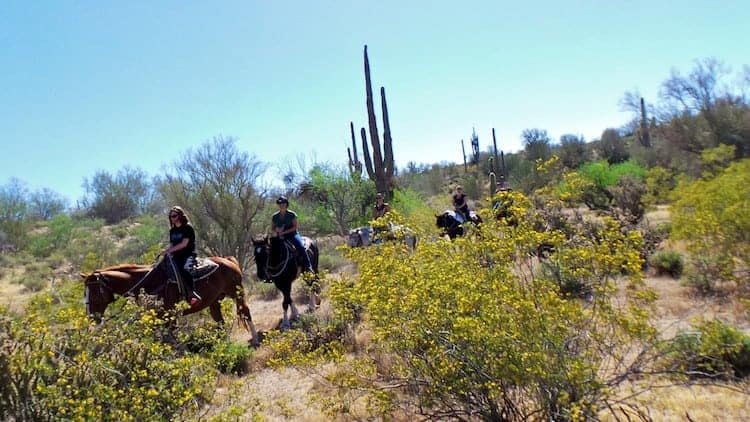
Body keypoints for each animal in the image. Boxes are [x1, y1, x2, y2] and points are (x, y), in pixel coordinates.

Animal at [83, 256, 262, 344]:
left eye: (94, 293)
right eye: (85, 294)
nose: (92, 318)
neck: (148, 282)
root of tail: (229, 260)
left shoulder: (169, 314)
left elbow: (171, 336)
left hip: (237, 293)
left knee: (245, 312)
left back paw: (255, 339)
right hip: (214, 301)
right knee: (220, 322)